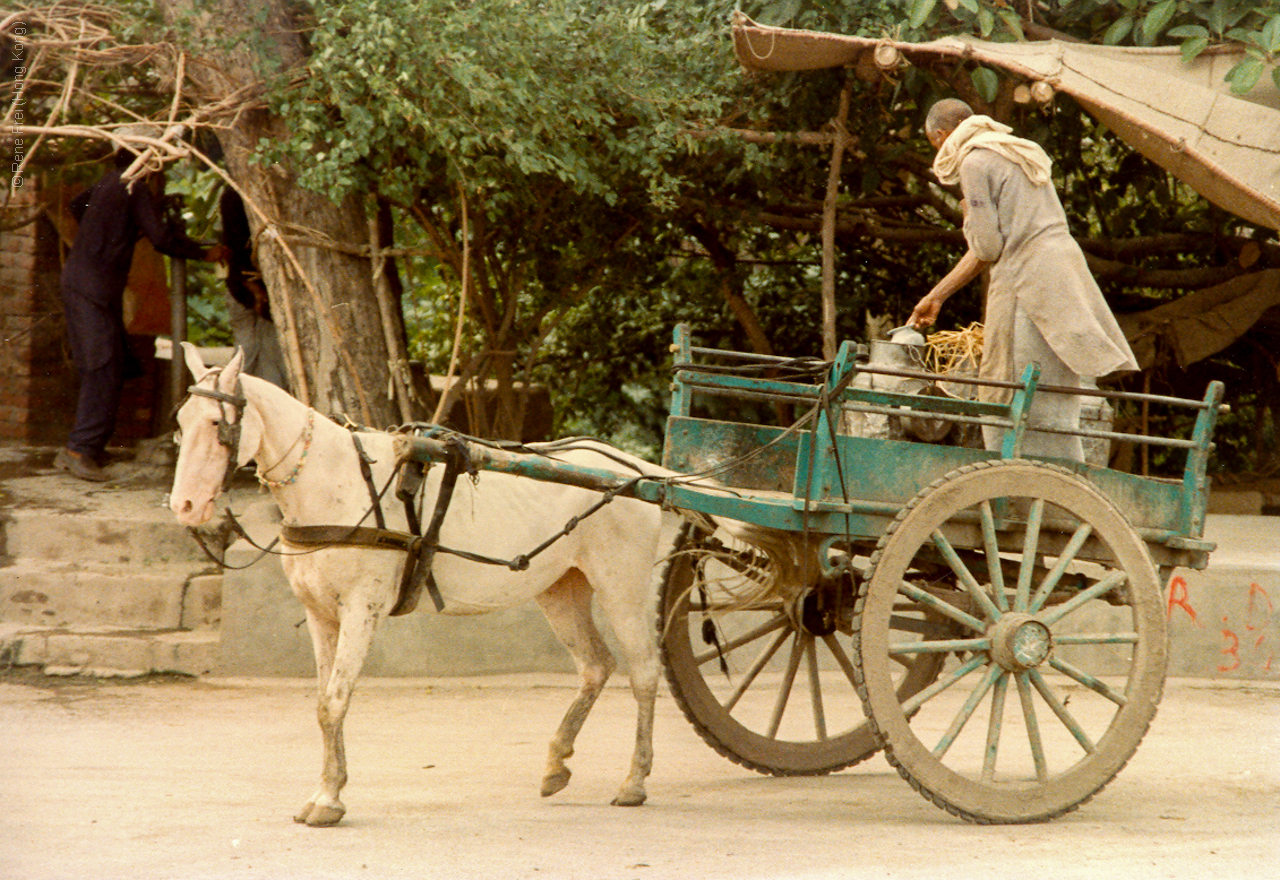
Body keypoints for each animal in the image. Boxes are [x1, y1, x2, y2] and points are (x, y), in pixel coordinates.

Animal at [170, 345, 680, 823]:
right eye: (180, 422)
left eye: (216, 423)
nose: (185, 506)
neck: (332, 480)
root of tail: (633, 472)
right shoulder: (320, 614)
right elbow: (321, 705)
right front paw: (324, 791)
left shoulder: (361, 609)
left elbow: (334, 701)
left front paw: (330, 799)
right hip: (561, 589)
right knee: (595, 666)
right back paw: (556, 764)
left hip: (622, 587)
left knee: (644, 672)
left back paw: (634, 780)